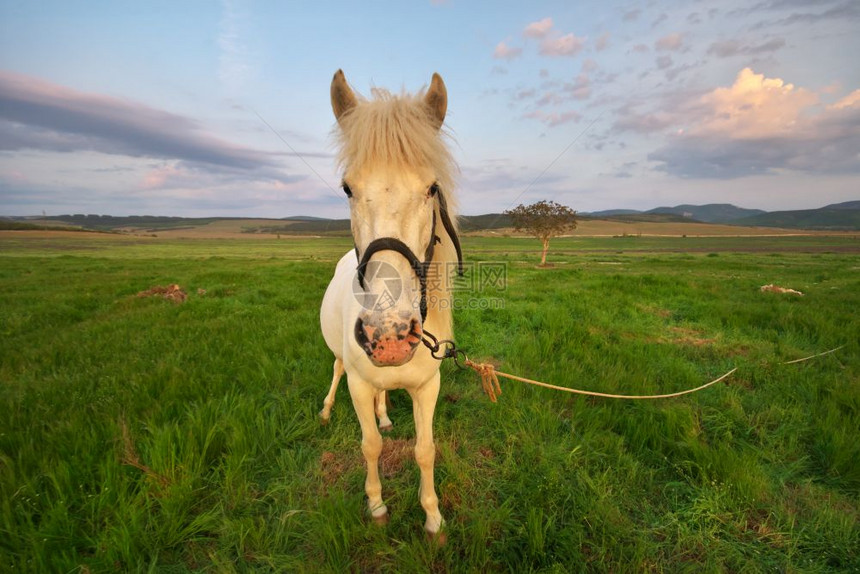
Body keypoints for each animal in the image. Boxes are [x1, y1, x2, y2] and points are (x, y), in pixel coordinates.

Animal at [320, 68, 460, 540]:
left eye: (432, 188)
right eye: (347, 187)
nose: (389, 336)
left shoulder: (427, 388)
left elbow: (424, 449)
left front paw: (433, 518)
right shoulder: (359, 386)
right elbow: (370, 446)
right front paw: (377, 505)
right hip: (342, 360)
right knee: (336, 370)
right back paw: (325, 409)